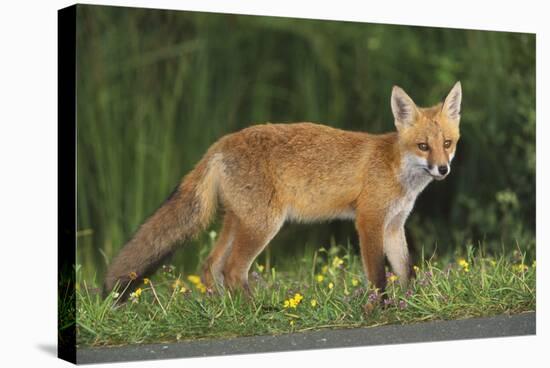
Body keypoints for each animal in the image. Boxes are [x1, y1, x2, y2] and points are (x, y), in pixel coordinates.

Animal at [102, 81, 462, 300]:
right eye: (423, 146)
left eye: (447, 143)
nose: (443, 170)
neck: (394, 168)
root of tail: (220, 143)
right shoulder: (369, 221)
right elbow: (378, 276)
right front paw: (380, 309)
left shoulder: (394, 225)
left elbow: (405, 270)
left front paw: (413, 302)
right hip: (264, 224)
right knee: (233, 270)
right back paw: (256, 311)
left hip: (238, 221)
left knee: (210, 265)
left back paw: (222, 310)